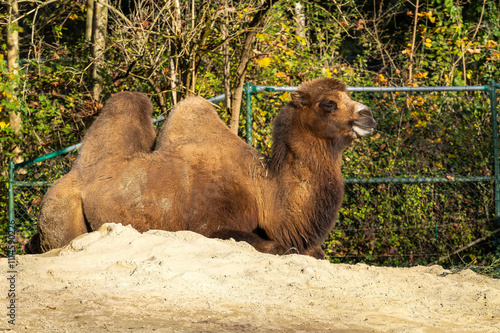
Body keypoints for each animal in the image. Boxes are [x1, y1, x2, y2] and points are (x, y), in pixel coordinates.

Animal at [26, 77, 376, 256]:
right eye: (328, 104)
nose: (368, 115)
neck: (265, 189)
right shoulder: (211, 225)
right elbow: (276, 246)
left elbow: (315, 252)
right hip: (61, 211)